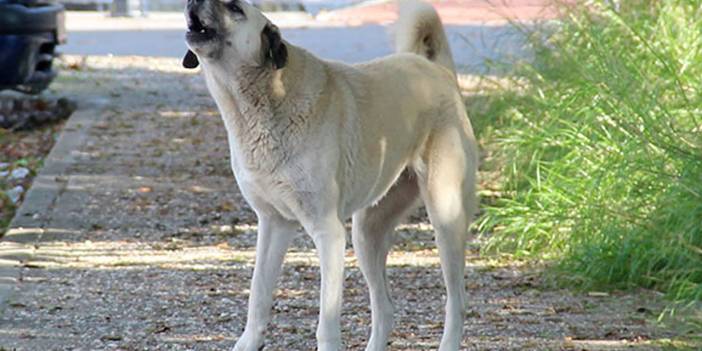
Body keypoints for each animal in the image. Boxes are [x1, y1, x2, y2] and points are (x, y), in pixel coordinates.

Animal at [182, 1, 482, 350]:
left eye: (234, 7)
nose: (191, 3)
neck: (267, 97)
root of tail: (439, 72)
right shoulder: (273, 224)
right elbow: (258, 294)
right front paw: (249, 341)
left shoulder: (328, 233)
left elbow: (326, 322)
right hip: (367, 233)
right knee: (385, 307)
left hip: (445, 218)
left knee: (457, 301)